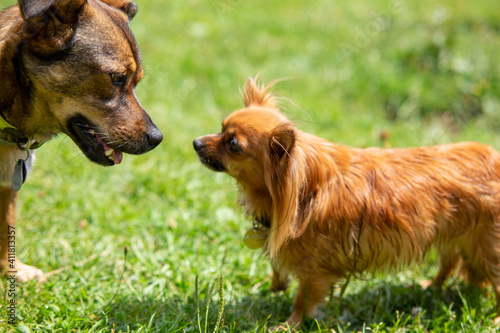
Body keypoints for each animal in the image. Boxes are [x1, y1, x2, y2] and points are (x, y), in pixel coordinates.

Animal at [0, 0, 162, 282]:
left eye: (137, 81)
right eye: (117, 78)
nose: (157, 138)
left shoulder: (8, 184)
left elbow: (5, 226)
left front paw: (13, 271)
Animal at [193, 79, 500, 326]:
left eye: (233, 144)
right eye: (220, 128)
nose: (196, 142)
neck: (302, 190)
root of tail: (493, 157)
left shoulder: (315, 270)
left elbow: (302, 299)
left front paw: (289, 324)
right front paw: (277, 286)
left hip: (486, 247)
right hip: (456, 235)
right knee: (450, 261)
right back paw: (429, 286)